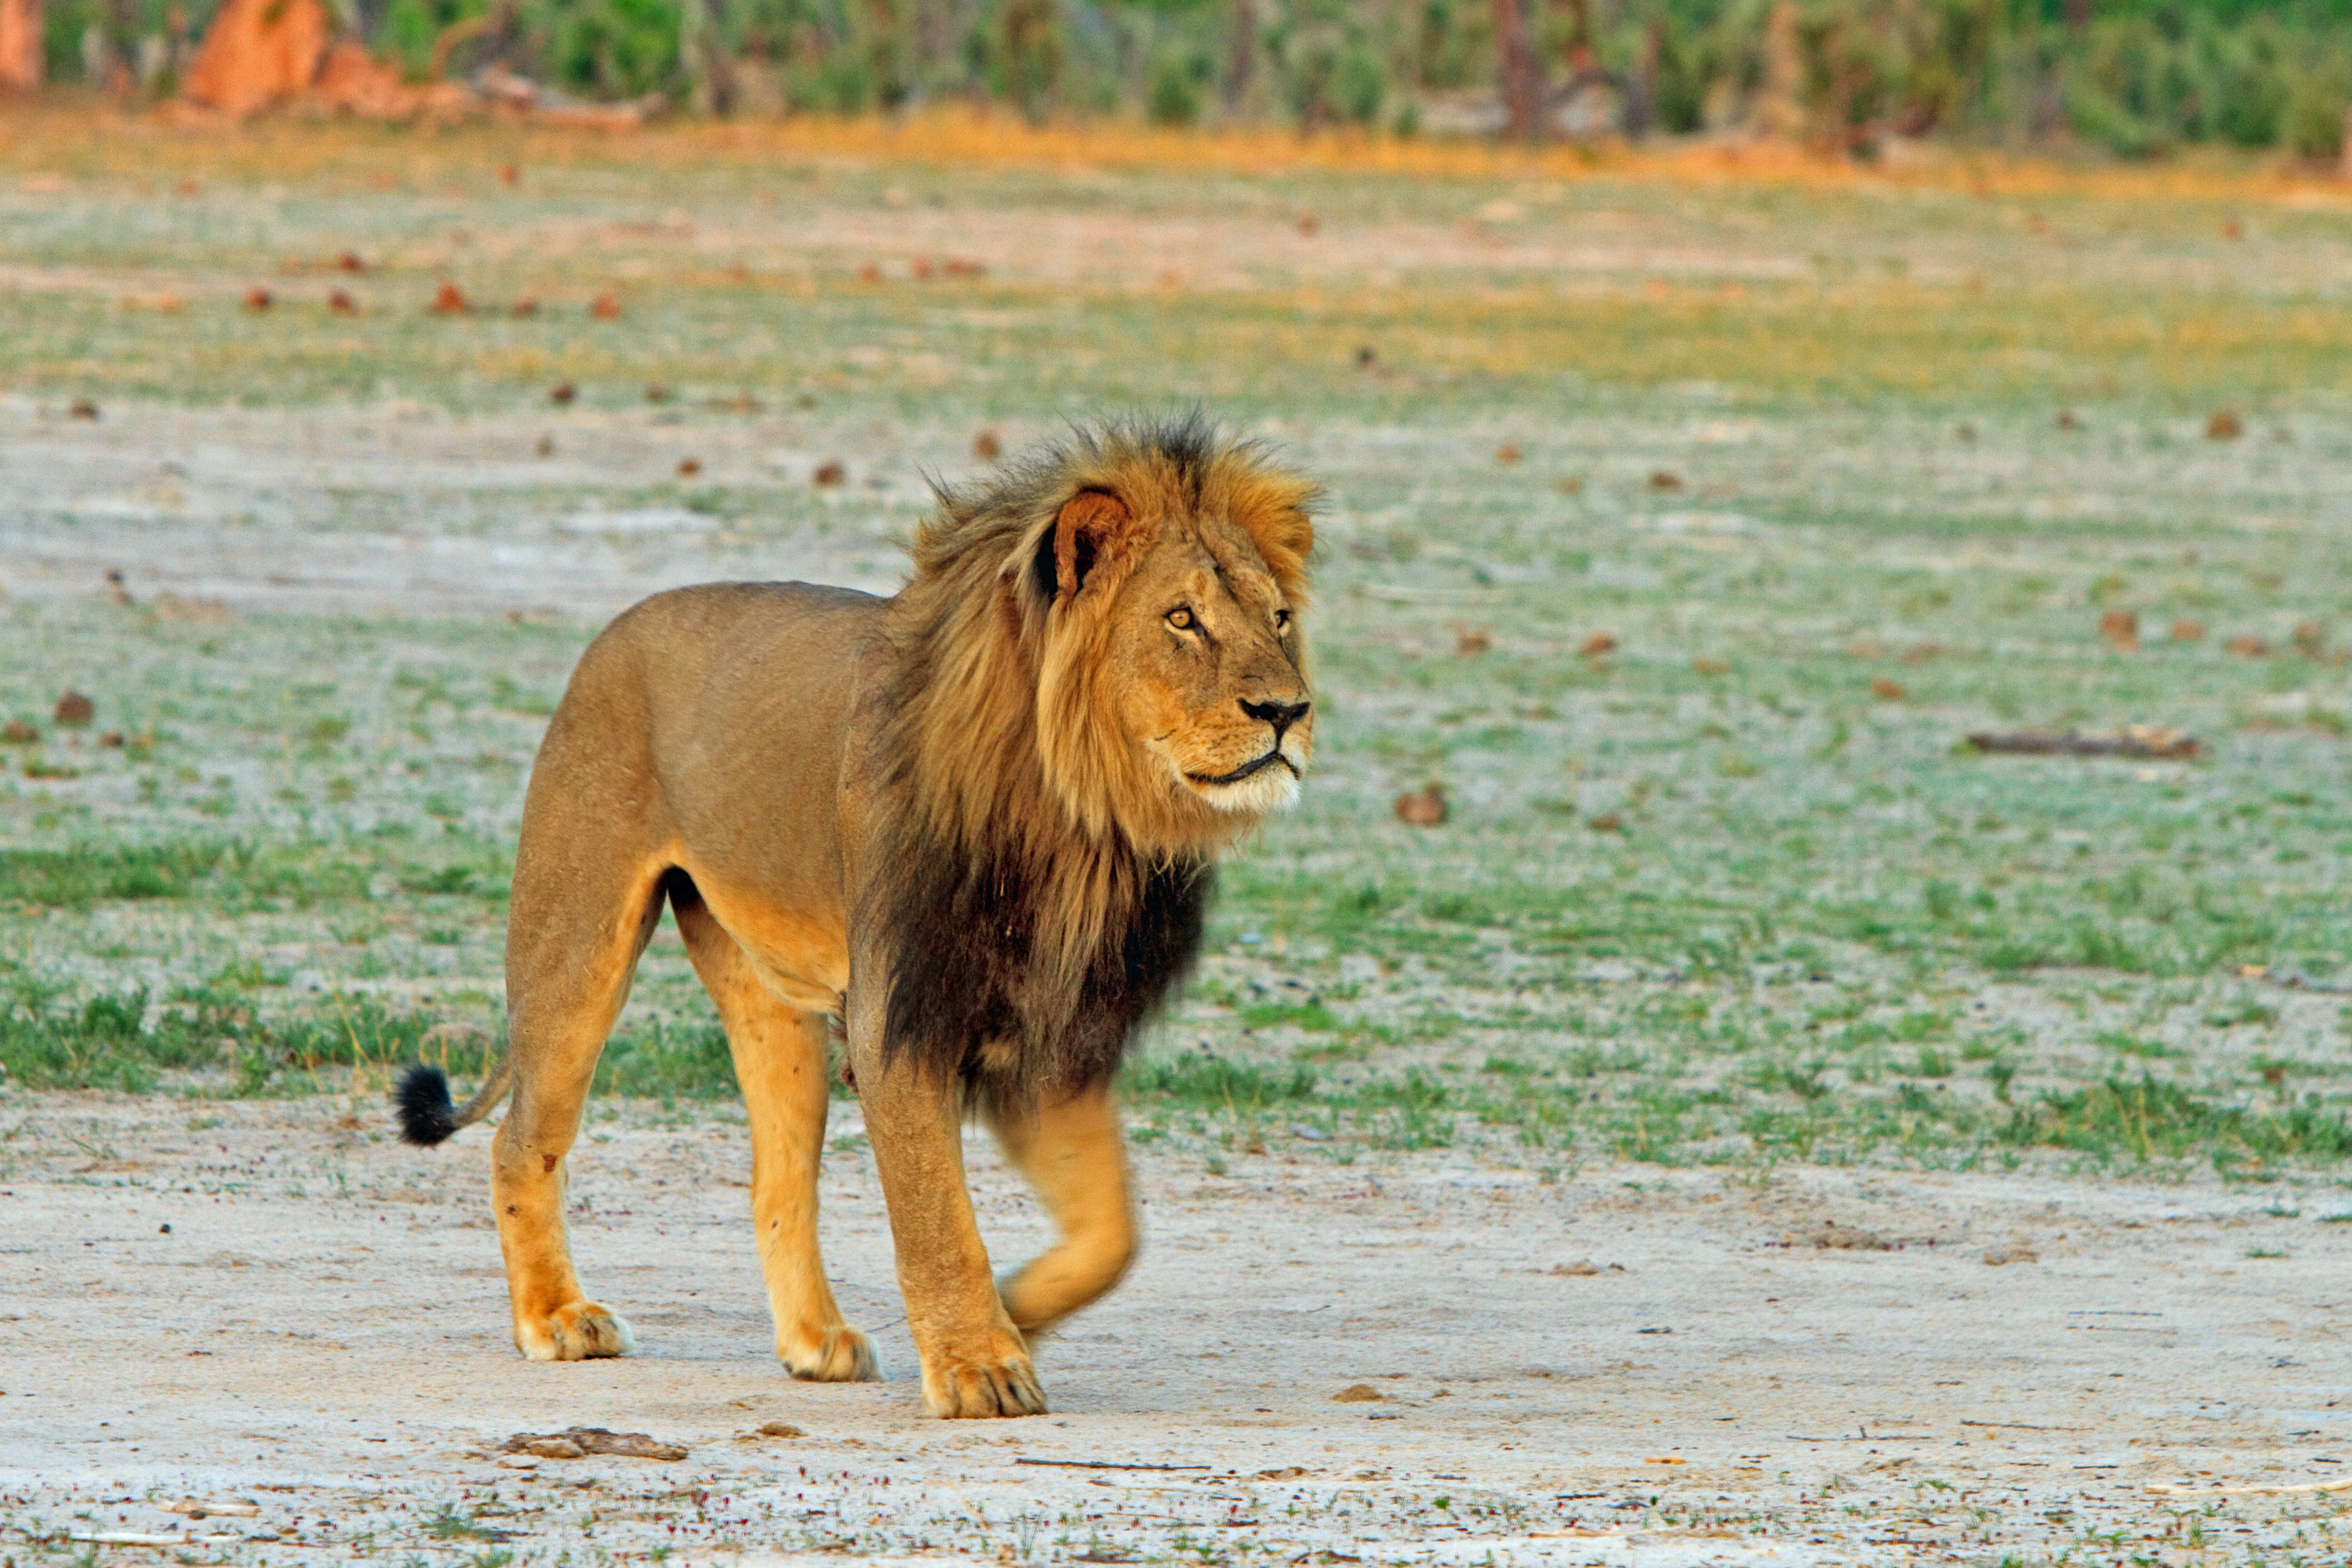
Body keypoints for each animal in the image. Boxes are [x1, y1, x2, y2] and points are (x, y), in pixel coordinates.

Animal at [394, 415, 1316, 1418]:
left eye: (1278, 619)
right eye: (1181, 619)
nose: (1287, 710)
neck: (1083, 823)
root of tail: (613, 631)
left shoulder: (1052, 1039)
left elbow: (1113, 1233)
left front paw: (1017, 1313)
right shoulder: (899, 1016)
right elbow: (937, 1214)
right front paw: (978, 1367)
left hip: (772, 1004)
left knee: (775, 1180)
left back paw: (814, 1341)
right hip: (578, 940)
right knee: (523, 1139)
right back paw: (557, 1318)